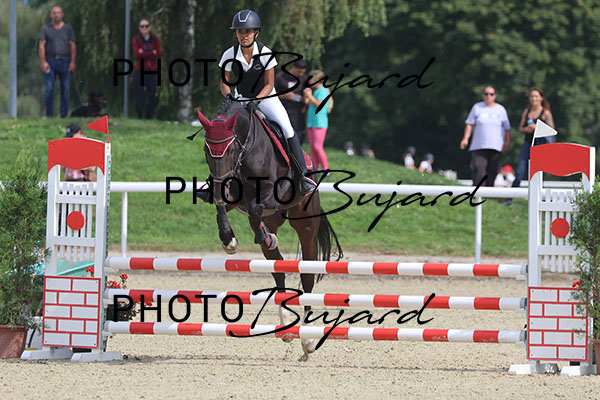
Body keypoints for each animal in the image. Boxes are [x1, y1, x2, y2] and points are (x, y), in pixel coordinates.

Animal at [196, 98, 343, 360]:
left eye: (230, 150)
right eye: (206, 151)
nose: (220, 182)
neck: (246, 148)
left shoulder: (269, 194)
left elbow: (255, 208)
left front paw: (260, 236)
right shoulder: (232, 197)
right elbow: (223, 206)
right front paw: (229, 240)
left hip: (305, 224)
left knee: (306, 275)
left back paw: (307, 340)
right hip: (275, 221)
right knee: (279, 267)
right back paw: (286, 326)